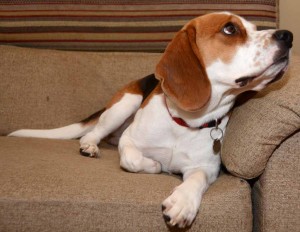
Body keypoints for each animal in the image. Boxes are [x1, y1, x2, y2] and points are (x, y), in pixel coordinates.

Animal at [9, 12, 292, 228]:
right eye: (230, 29)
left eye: (254, 28)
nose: (287, 36)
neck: (185, 123)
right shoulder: (129, 141)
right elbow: (133, 160)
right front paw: (155, 166)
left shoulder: (207, 167)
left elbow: (196, 180)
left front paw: (183, 203)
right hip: (126, 103)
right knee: (92, 133)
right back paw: (89, 146)